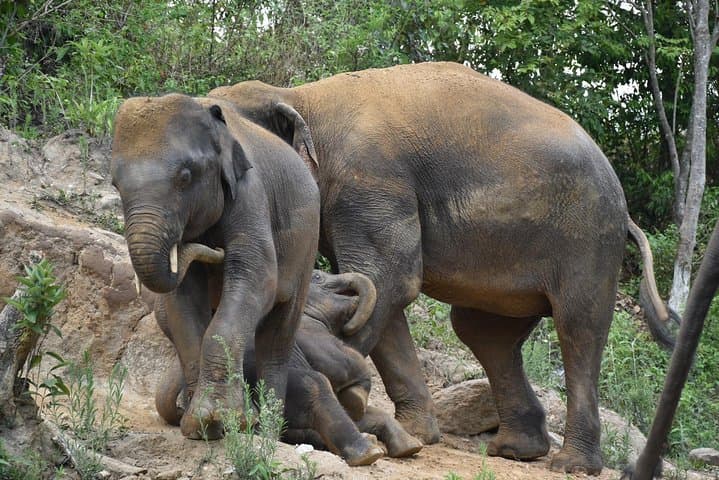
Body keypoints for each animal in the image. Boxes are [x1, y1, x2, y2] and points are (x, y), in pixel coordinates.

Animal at [110, 93, 320, 440]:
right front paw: (200, 426)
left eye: (185, 177)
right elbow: (182, 299)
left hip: (307, 249)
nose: (213, 249)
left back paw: (266, 433)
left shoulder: (250, 191)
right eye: (115, 185)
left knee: (278, 334)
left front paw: (220, 420)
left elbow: (257, 276)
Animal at [154, 269, 423, 465]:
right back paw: (369, 453)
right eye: (318, 277)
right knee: (316, 387)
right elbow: (349, 365)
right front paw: (356, 398)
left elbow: (360, 410)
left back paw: (407, 447)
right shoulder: (315, 337)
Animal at [207, 61, 675, 474]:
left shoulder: (370, 178)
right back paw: (517, 450)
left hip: (588, 239)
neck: (299, 95)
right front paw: (416, 435)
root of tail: (626, 213)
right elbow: (379, 290)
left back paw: (571, 465)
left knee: (577, 327)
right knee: (484, 333)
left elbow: (389, 277)